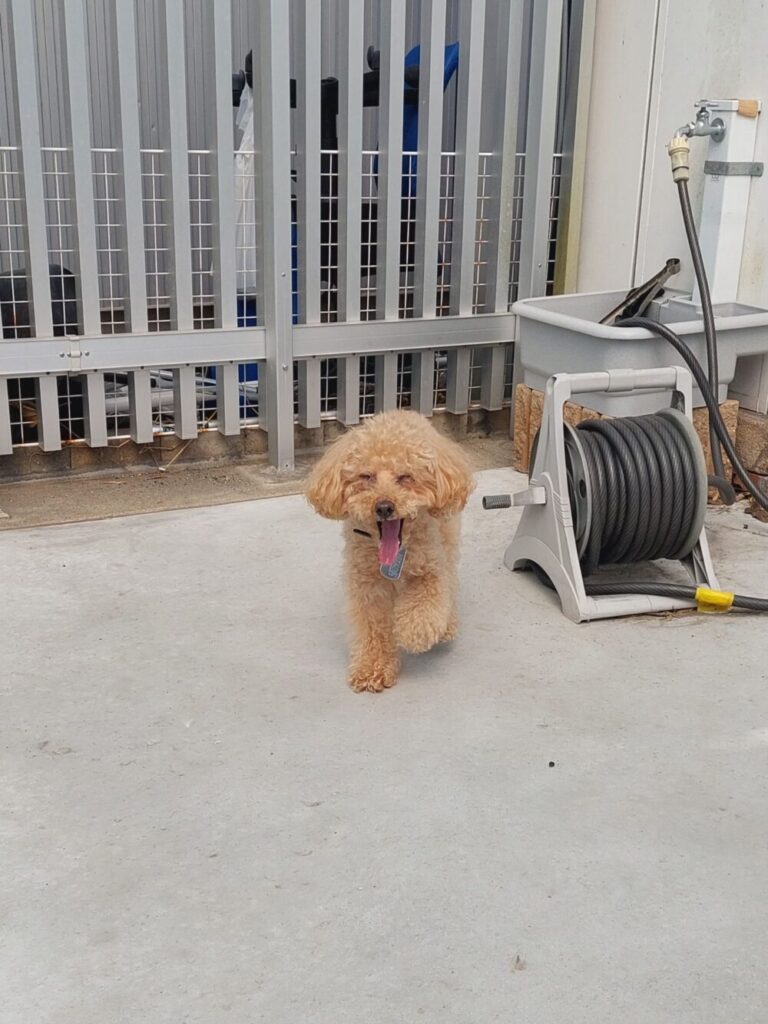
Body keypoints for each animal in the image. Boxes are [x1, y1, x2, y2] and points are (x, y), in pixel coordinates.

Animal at [306, 409, 474, 692]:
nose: (384, 507)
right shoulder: (368, 588)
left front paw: (412, 632)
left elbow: (427, 599)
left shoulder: (430, 568)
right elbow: (373, 627)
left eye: (405, 477)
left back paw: (448, 625)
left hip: (447, 535)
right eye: (366, 477)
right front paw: (372, 668)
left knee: (450, 578)